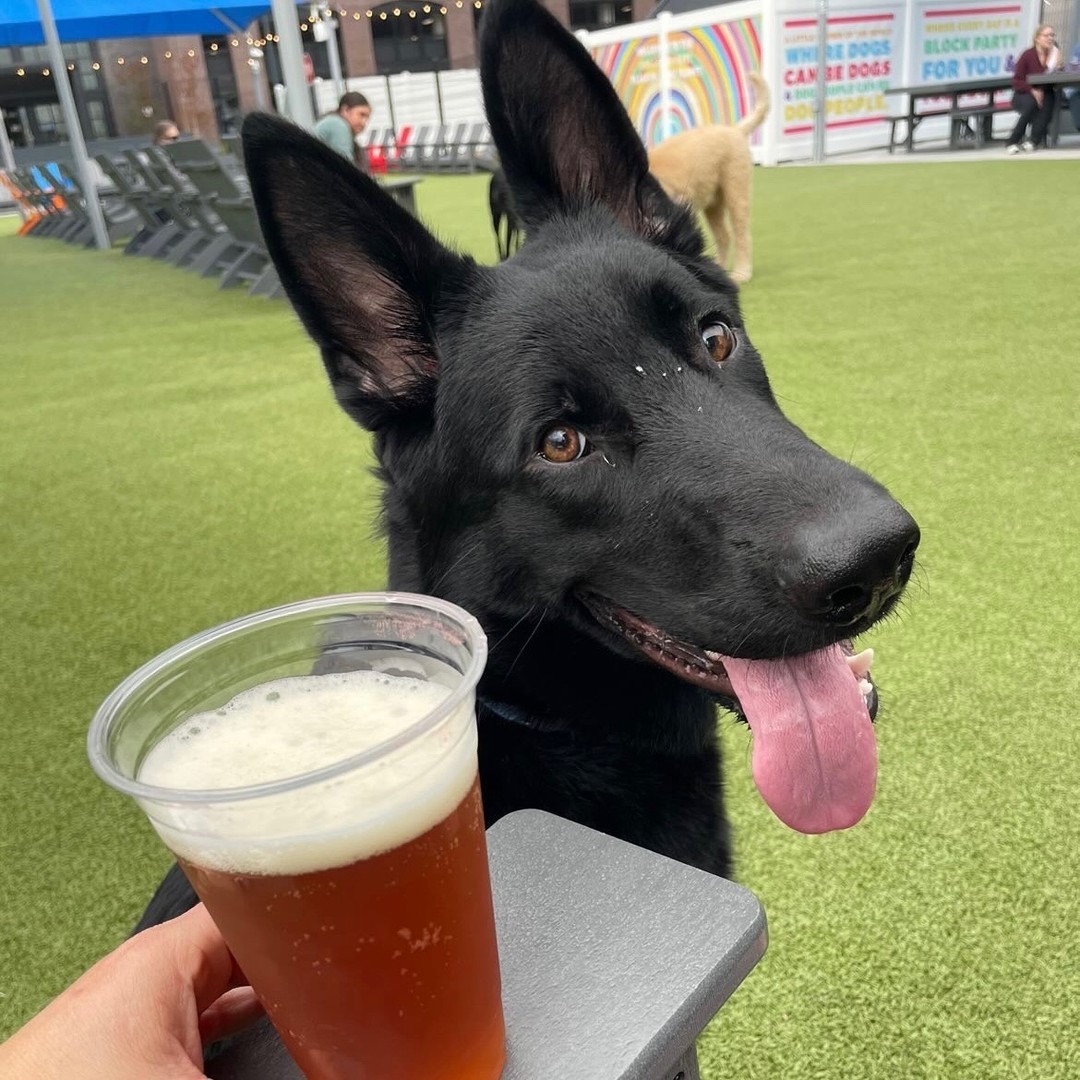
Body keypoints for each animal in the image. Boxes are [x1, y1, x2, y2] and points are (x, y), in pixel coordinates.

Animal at [648, 70, 768, 282]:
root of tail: (735, 130)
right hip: (713, 203)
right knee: (724, 236)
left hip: (736, 191)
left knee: (742, 235)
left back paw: (741, 273)